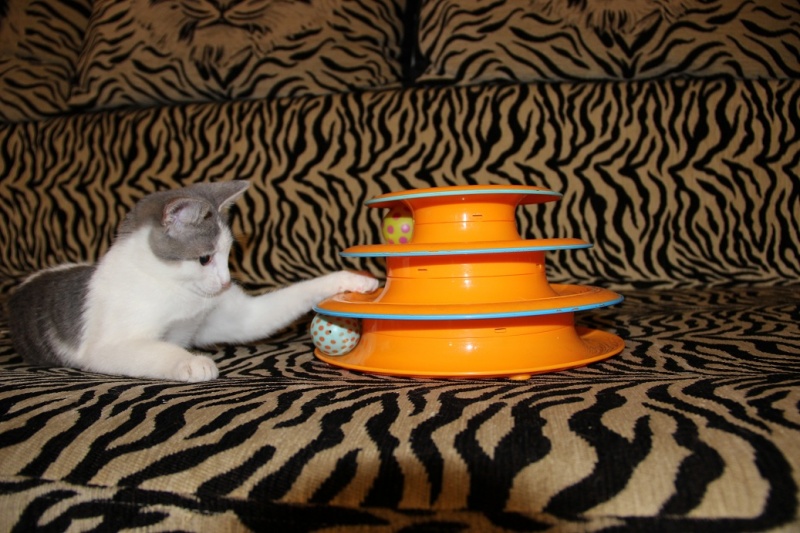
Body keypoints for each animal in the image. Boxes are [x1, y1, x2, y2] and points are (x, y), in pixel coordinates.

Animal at [7, 180, 379, 382]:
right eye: (205, 258)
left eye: (228, 255)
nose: (226, 282)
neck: (179, 292)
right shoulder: (106, 345)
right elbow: (152, 350)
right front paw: (191, 361)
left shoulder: (231, 317)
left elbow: (271, 309)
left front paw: (351, 279)